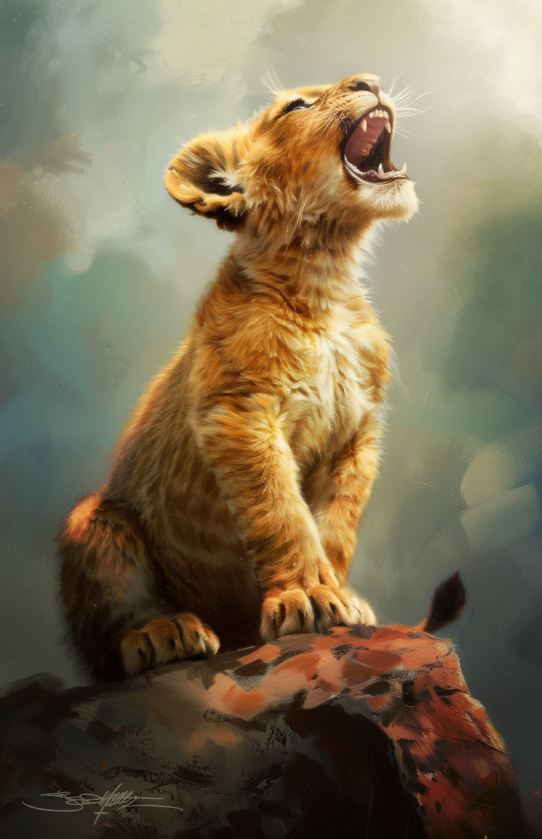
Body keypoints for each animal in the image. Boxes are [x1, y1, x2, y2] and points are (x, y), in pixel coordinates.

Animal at [59, 74, 418, 680]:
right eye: (295, 106)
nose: (368, 80)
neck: (324, 281)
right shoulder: (238, 413)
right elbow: (282, 513)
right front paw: (308, 596)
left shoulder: (358, 434)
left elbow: (335, 525)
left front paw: (341, 595)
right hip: (93, 521)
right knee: (110, 635)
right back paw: (164, 633)